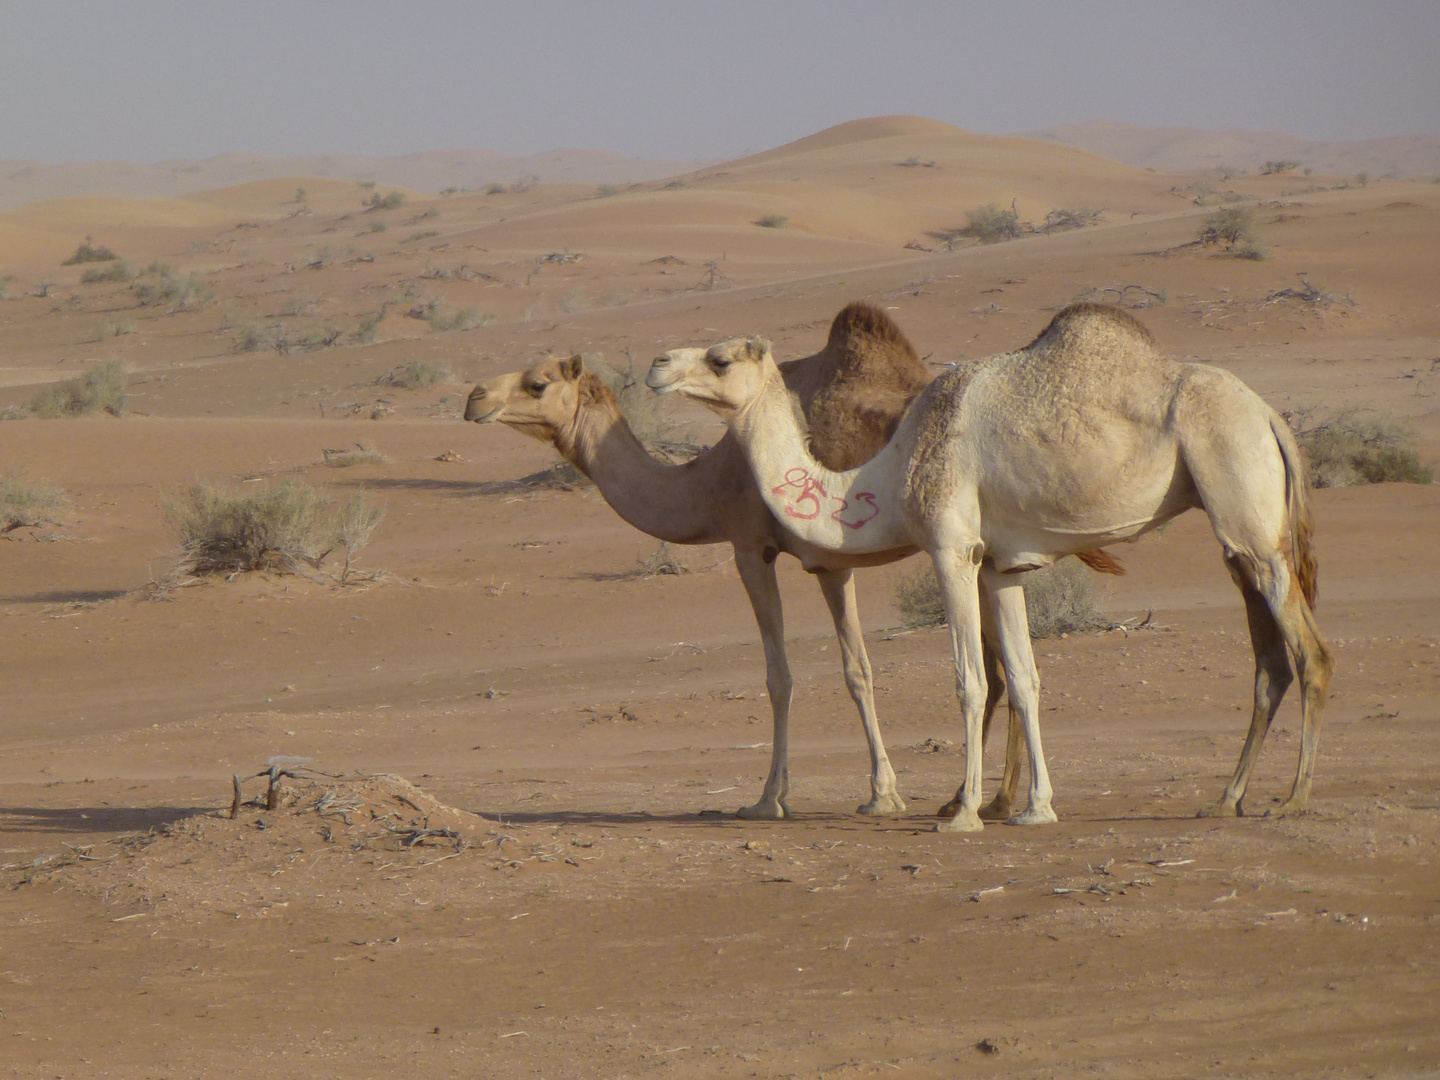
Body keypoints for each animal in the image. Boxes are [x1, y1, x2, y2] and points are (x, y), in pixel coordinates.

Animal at [648, 300, 1330, 835]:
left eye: (720, 360)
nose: (657, 365)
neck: (889, 475)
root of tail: (1270, 416)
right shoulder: (1002, 566)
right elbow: (1027, 680)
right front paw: (1036, 808)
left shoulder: (950, 548)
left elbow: (970, 680)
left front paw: (966, 813)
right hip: (1240, 532)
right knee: (1271, 661)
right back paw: (1226, 800)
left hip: (1243, 500)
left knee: (1310, 654)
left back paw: (1294, 800)